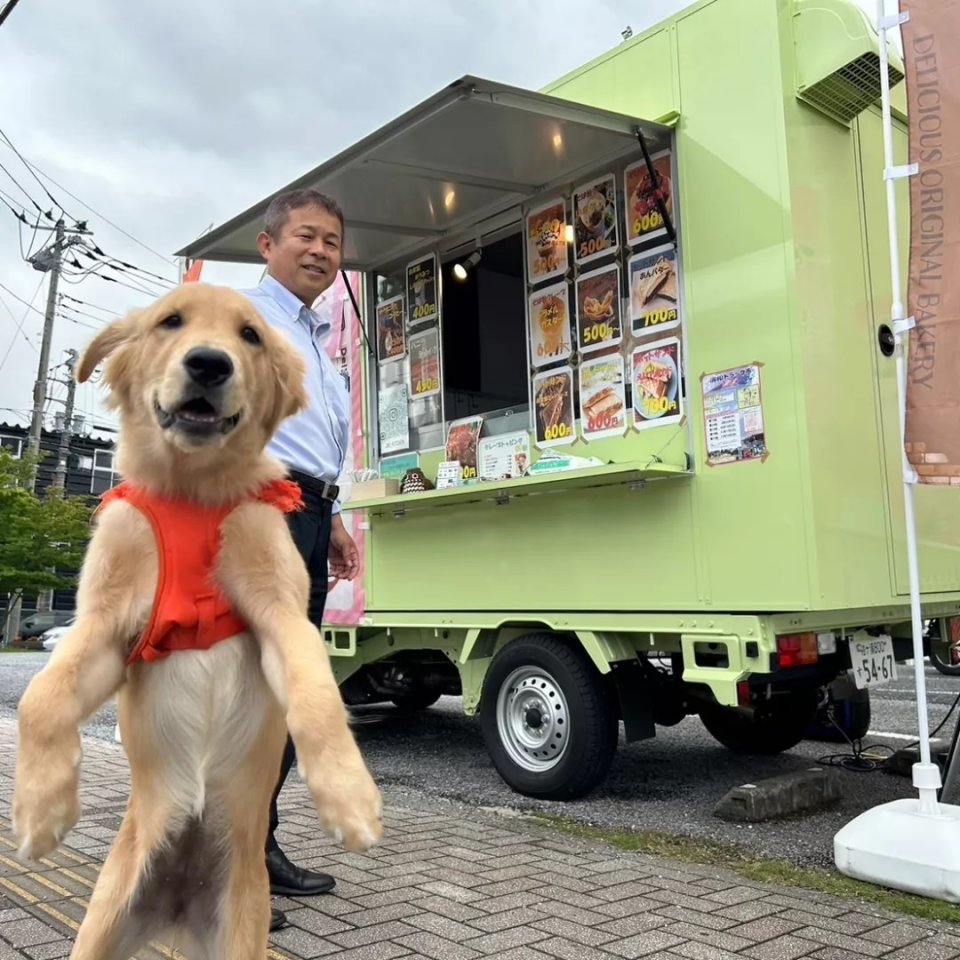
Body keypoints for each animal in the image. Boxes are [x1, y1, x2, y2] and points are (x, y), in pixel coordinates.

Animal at [12, 284, 382, 960]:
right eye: (170, 322)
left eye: (250, 335)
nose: (209, 363)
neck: (193, 490)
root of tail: (178, 905)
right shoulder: (107, 628)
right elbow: (41, 698)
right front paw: (39, 811)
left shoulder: (279, 616)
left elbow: (318, 695)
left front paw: (350, 797)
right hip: (98, 931)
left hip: (239, 934)